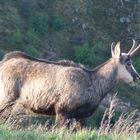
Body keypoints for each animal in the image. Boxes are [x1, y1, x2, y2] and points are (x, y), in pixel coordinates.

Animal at [0, 40, 139, 130]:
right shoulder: (62, 110)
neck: (93, 82)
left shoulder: (81, 116)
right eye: (128, 63)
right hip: (7, 98)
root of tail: (3, 63)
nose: (137, 77)